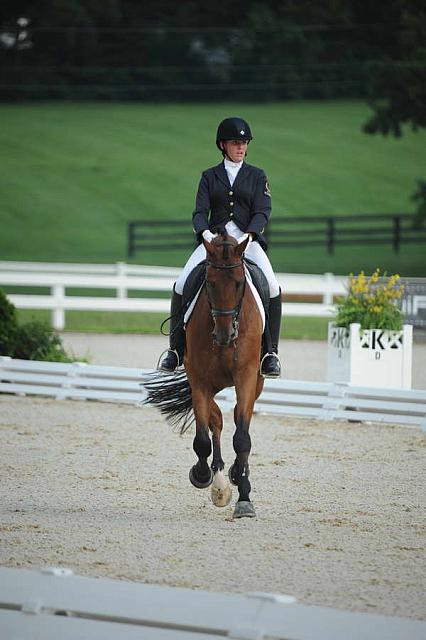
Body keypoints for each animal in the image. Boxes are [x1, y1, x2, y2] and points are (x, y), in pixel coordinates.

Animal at [146, 235, 266, 520]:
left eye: (239, 282)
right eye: (209, 283)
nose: (224, 335)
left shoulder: (246, 378)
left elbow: (242, 438)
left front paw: (244, 498)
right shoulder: (199, 380)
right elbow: (202, 438)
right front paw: (202, 475)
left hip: (253, 384)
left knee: (232, 420)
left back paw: (234, 473)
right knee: (216, 421)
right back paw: (219, 476)